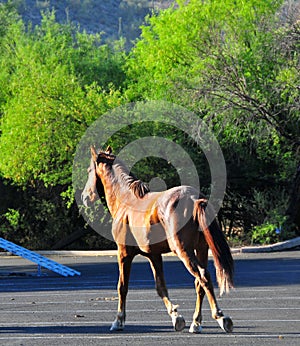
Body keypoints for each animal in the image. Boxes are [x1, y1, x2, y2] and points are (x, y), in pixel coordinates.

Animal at [82, 146, 234, 332]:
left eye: (89, 170)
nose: (84, 197)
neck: (125, 199)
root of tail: (195, 198)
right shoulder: (154, 255)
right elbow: (160, 287)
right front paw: (176, 317)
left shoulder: (123, 253)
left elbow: (122, 287)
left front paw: (118, 321)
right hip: (201, 249)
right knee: (200, 283)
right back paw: (196, 323)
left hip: (184, 251)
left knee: (203, 276)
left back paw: (220, 317)